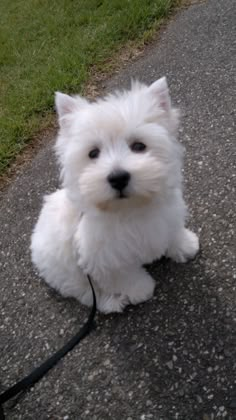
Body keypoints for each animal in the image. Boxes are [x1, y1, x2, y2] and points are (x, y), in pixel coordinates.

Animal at [30, 76, 198, 312]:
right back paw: (113, 302)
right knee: (87, 294)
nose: (118, 178)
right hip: (67, 272)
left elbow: (173, 232)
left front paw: (185, 246)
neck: (130, 208)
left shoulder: (168, 215)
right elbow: (126, 277)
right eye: (93, 153)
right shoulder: (105, 260)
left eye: (139, 146)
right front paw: (142, 290)